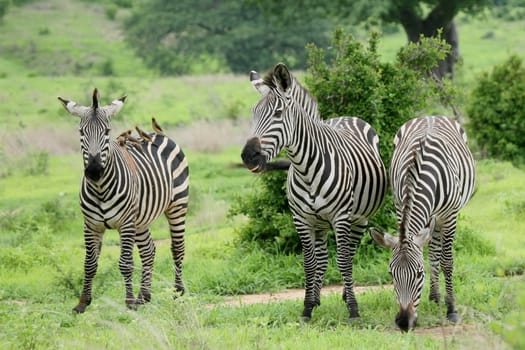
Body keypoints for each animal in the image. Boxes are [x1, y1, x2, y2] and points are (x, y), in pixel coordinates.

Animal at [58, 89, 189, 314]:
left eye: (107, 131)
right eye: (81, 132)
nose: (94, 171)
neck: (100, 188)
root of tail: (159, 134)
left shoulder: (126, 223)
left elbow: (126, 262)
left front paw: (128, 301)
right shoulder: (90, 225)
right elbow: (89, 263)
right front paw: (82, 303)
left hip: (177, 206)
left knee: (177, 248)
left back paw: (177, 292)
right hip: (141, 219)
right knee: (148, 251)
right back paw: (144, 296)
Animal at [241, 64, 384, 322]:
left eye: (278, 113)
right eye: (253, 114)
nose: (248, 156)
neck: (305, 169)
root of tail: (345, 117)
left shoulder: (341, 217)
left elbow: (343, 260)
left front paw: (353, 310)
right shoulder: (301, 219)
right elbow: (309, 263)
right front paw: (307, 308)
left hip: (359, 218)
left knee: (350, 253)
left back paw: (347, 294)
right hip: (319, 223)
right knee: (322, 258)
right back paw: (317, 297)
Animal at [368, 116, 474, 332]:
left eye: (418, 274)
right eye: (391, 274)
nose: (403, 322)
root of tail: (430, 116)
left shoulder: (450, 216)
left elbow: (447, 262)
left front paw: (452, 310)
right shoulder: (400, 207)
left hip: (440, 219)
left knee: (437, 255)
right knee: (433, 254)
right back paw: (434, 298)